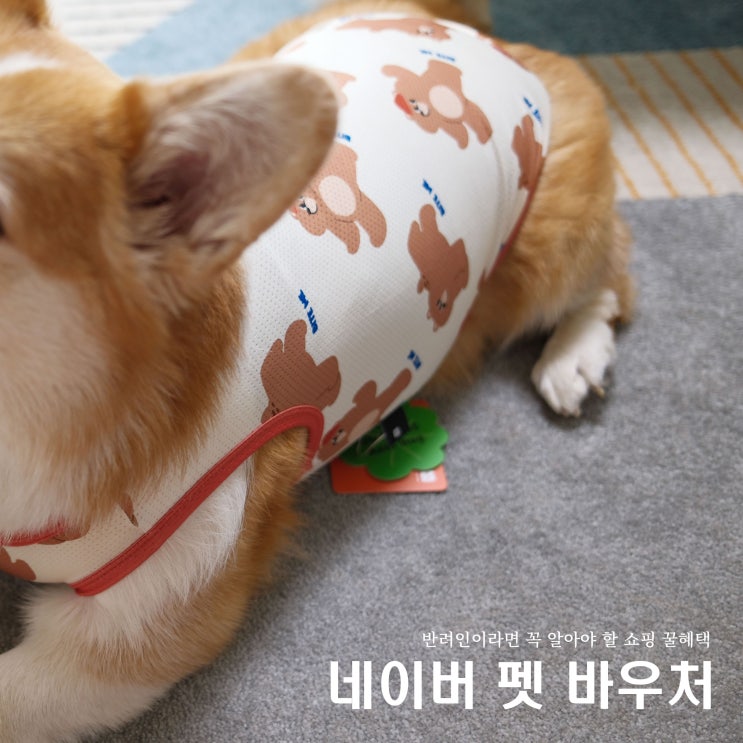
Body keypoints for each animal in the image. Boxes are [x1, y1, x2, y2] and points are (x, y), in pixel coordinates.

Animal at [0, 0, 633, 739]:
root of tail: (455, 26)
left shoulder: (136, 626)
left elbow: (18, 693)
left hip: (549, 250)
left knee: (611, 273)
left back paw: (573, 358)